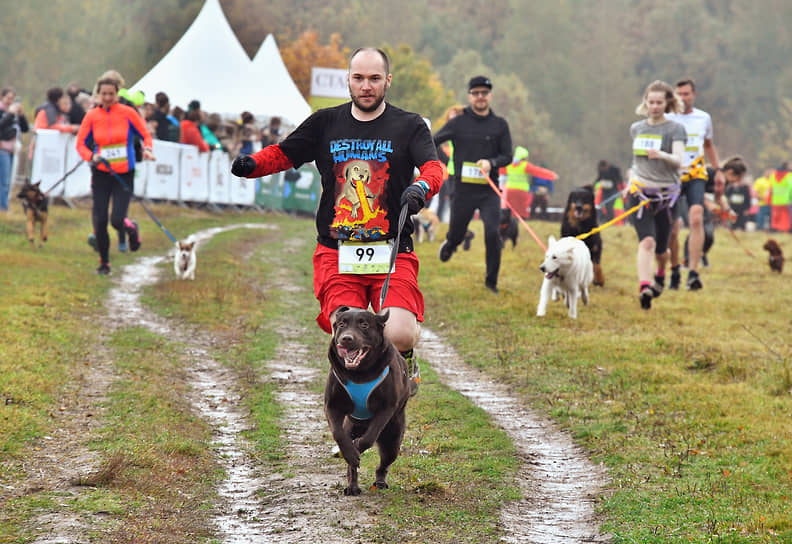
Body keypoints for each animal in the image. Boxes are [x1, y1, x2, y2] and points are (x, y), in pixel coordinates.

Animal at [324, 308, 412, 496]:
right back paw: (352, 486)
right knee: (352, 467)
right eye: (341, 324)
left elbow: (370, 437)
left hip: (393, 439)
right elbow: (338, 434)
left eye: (364, 325)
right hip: (351, 426)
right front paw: (351, 453)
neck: (359, 374)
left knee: (384, 464)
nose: (346, 338)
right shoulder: (332, 406)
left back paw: (380, 482)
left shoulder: (386, 408)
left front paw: (358, 446)